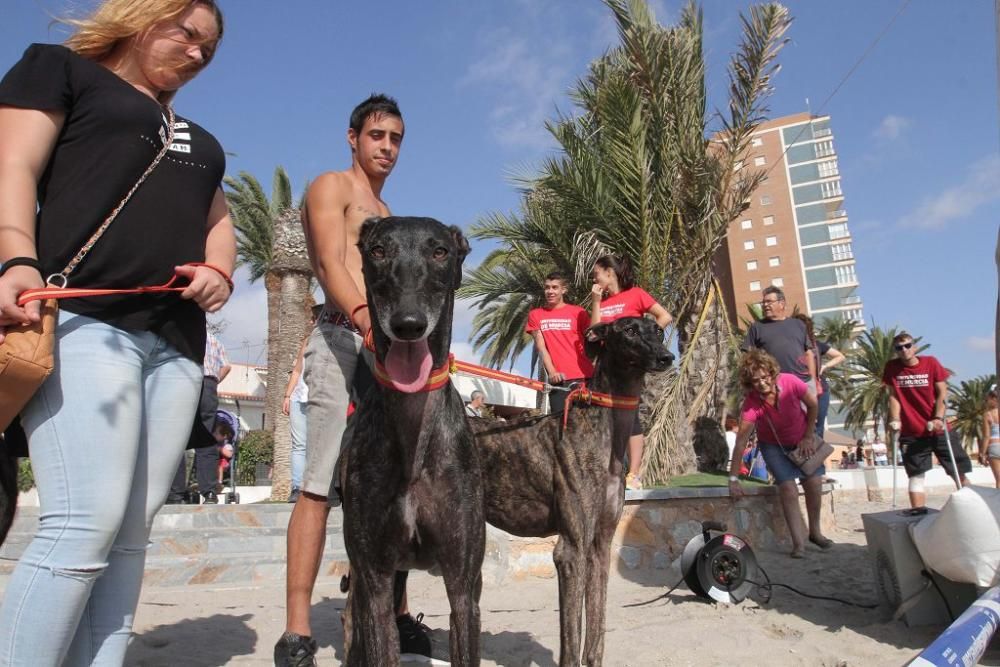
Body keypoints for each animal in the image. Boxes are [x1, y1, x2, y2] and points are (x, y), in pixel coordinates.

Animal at [470, 320, 672, 667]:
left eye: (658, 330)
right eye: (629, 330)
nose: (667, 357)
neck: (603, 432)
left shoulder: (600, 546)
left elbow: (596, 633)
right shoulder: (571, 550)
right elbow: (571, 638)